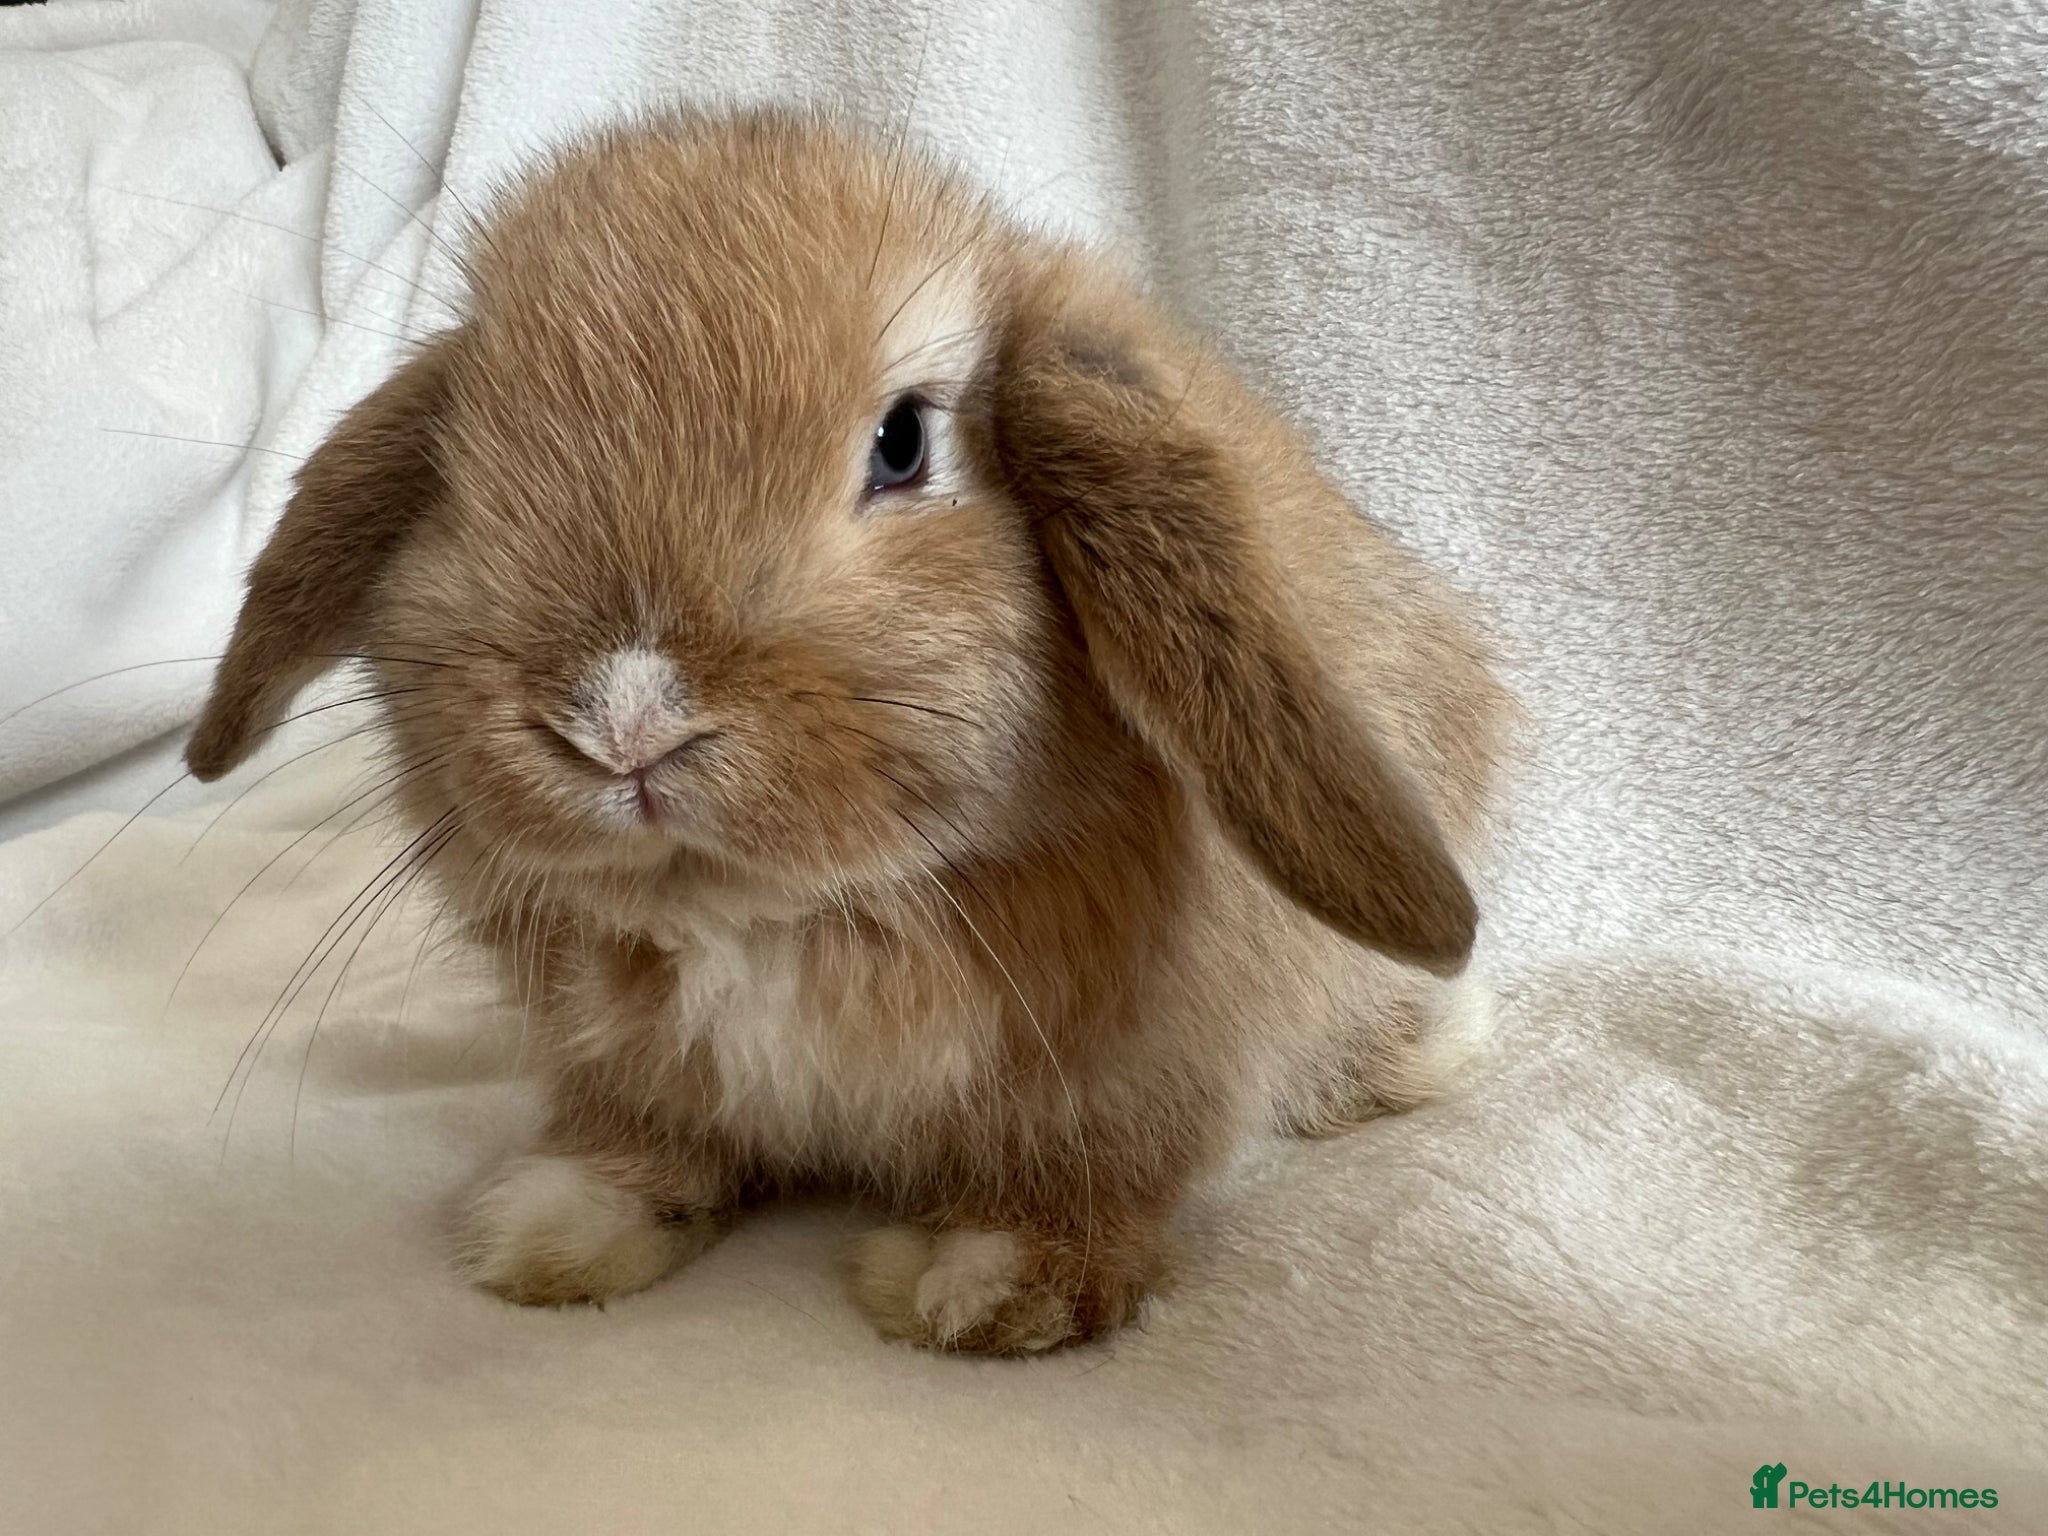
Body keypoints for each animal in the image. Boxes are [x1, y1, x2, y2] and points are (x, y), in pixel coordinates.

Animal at [184, 108, 1512, 1354]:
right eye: (460, 469)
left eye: (903, 441)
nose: (624, 717)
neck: (777, 914)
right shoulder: (618, 1054)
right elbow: (643, 1136)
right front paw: (557, 1222)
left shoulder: (1141, 1066)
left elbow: (1093, 1171)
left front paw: (990, 1281)